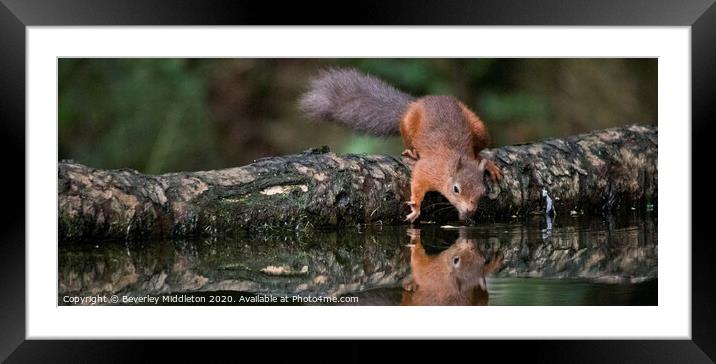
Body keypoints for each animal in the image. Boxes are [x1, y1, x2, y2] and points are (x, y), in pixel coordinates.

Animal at [300, 67, 500, 222]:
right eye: (456, 189)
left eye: (482, 192)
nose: (470, 210)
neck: (454, 162)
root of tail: (416, 103)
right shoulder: (429, 169)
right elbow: (418, 181)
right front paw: (416, 207)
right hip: (408, 125)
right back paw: (412, 151)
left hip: (479, 128)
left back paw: (488, 164)